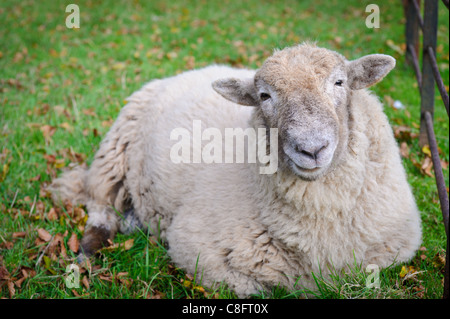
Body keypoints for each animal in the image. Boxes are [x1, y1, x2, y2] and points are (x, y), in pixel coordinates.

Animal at [50, 42, 422, 298]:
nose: (312, 148)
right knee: (100, 212)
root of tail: (181, 73)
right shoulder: (197, 251)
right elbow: (260, 288)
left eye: (340, 82)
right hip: (113, 157)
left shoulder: (393, 252)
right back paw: (88, 254)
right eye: (264, 95)